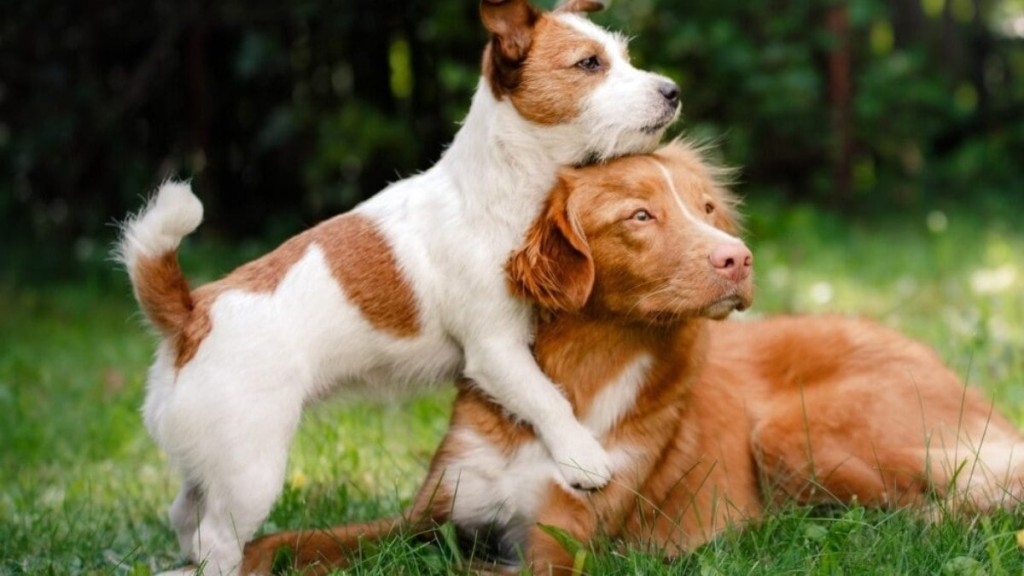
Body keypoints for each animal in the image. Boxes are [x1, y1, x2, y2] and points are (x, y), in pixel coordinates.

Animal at [117, 2, 679, 569]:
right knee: (216, 538)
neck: (500, 187)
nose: (672, 90)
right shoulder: (495, 349)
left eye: (624, 56)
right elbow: (546, 398)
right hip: (250, 470)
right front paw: (582, 457)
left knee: (185, 514)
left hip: (211, 462)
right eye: (589, 64)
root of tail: (191, 315)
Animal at [241, 140, 1024, 573]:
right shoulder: (431, 520)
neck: (571, 386)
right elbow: (288, 542)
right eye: (640, 216)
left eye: (706, 209)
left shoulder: (557, 555)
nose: (740, 258)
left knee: (950, 509)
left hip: (791, 433)